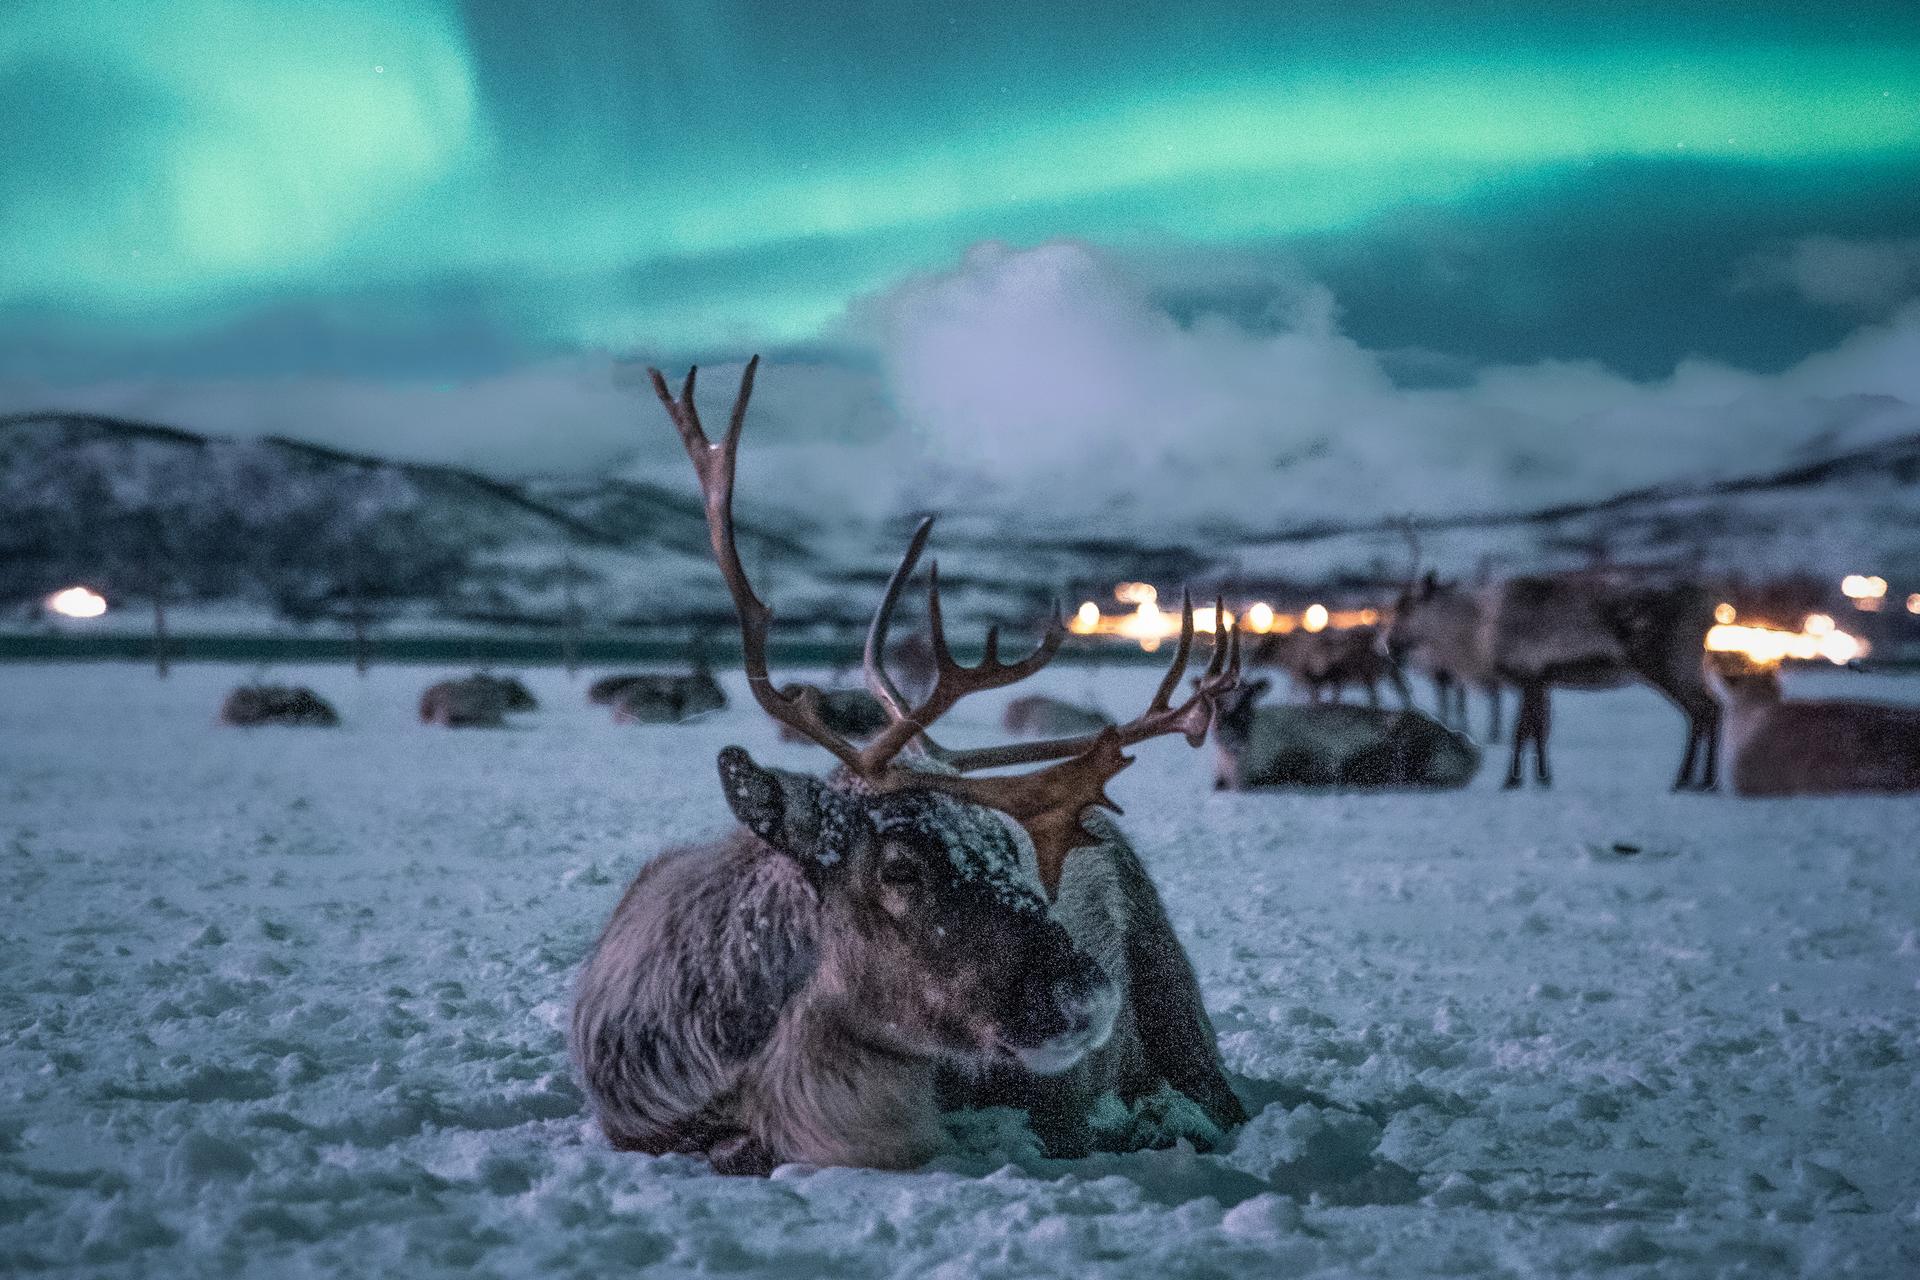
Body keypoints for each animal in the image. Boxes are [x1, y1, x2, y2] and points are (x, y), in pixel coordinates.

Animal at [1393, 574, 1719, 790]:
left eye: (1406, 608)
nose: (1389, 644)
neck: (1476, 633)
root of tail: (1707, 613)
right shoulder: (1540, 680)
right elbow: (1538, 730)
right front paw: (1542, 778)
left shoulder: (1526, 676)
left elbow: (1521, 731)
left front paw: (1511, 780)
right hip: (1686, 668)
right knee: (1711, 709)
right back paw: (1702, 781)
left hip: (1665, 665)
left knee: (1702, 710)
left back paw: (1688, 780)